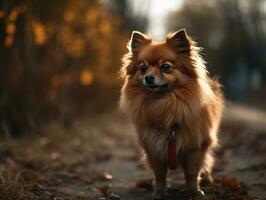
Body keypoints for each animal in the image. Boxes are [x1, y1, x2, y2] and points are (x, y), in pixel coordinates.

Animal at [119, 28, 223, 199]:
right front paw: (159, 192)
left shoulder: (196, 146)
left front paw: (194, 191)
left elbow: (192, 173)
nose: (148, 77)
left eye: (165, 67)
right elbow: (160, 175)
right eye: (143, 68)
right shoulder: (153, 147)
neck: (163, 104)